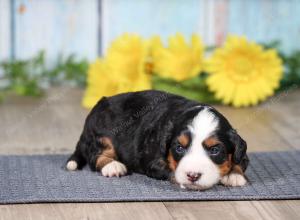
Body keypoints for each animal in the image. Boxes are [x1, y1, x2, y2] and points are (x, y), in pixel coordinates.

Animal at [66, 90, 248, 190]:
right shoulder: (154, 162)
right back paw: (113, 166)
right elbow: (172, 170)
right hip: (101, 133)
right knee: (96, 155)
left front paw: (234, 175)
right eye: (179, 148)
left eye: (215, 150)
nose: (193, 175)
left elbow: (241, 161)